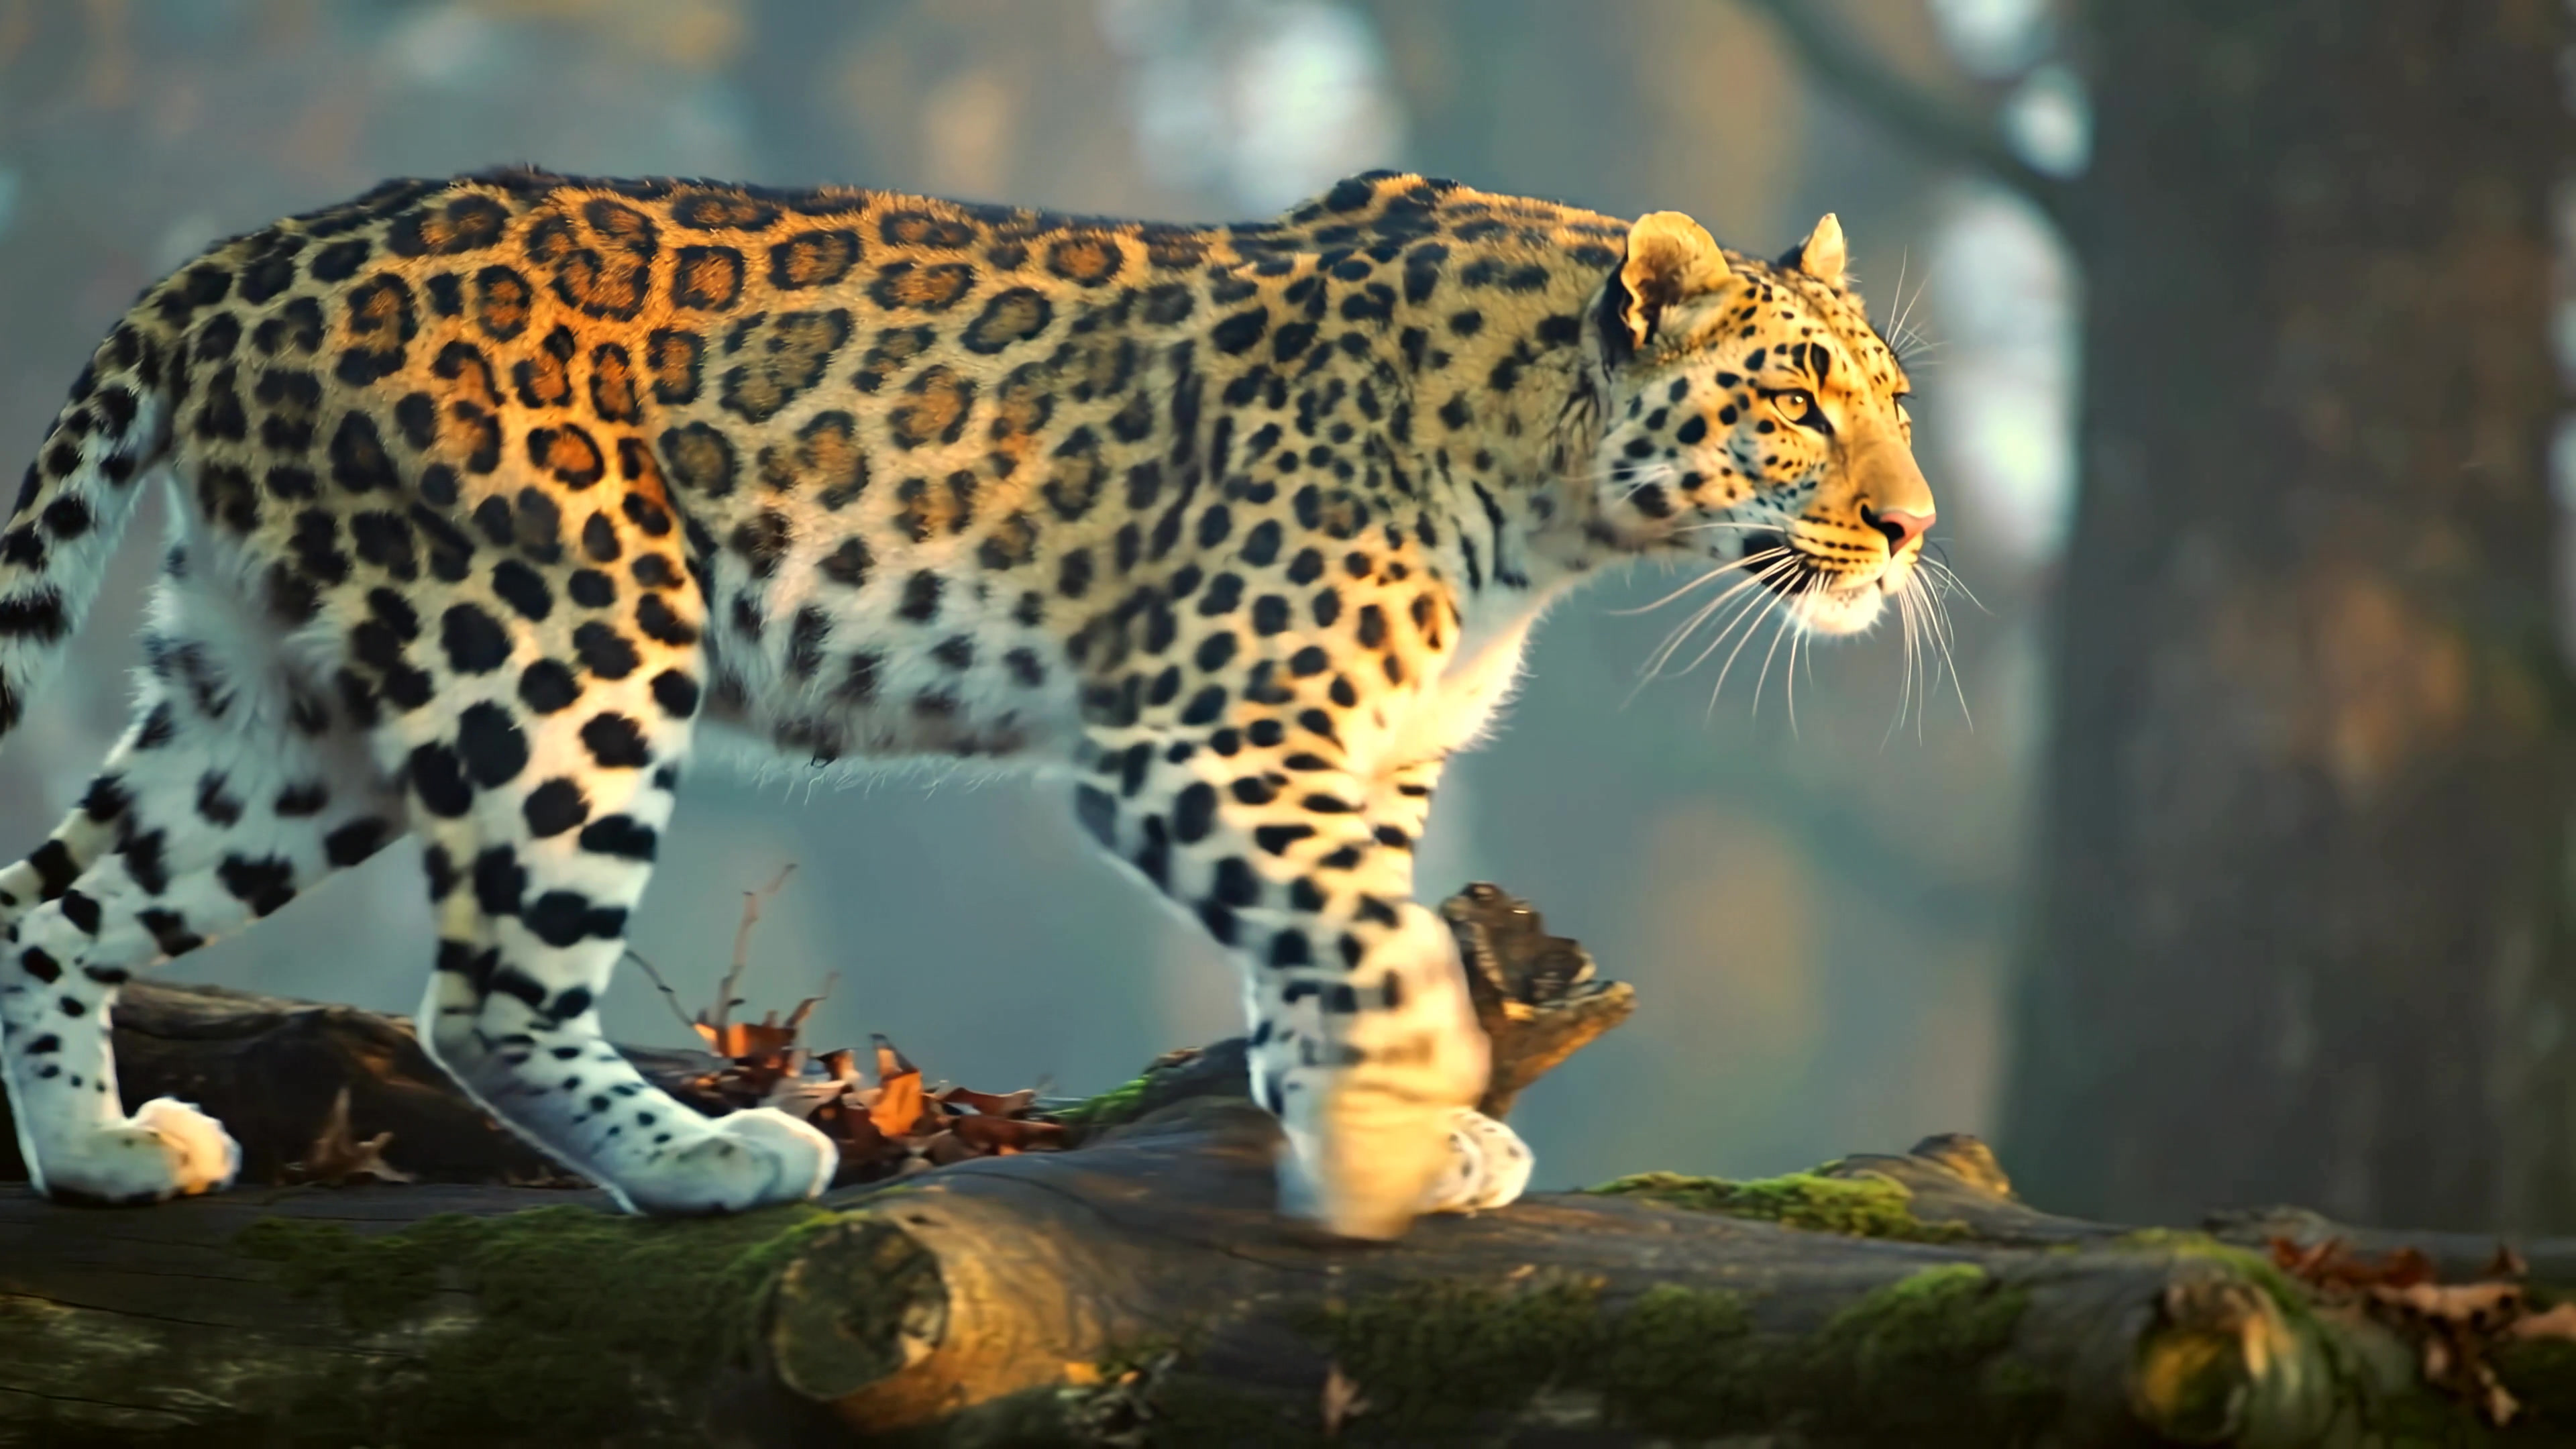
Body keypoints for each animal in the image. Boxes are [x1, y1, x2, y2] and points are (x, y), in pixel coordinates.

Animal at [0, 167, 1930, 1239]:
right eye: (1796, 401)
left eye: (1896, 399)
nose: (1915, 527)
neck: (1554, 495)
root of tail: (238, 259)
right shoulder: (1201, 738)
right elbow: (1380, 956)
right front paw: (1396, 1137)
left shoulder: (1360, 763)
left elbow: (1328, 950)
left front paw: (1366, 1125)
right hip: (566, 646)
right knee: (485, 1000)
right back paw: (709, 1164)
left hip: (278, 708)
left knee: (47, 897)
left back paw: (96, 1153)